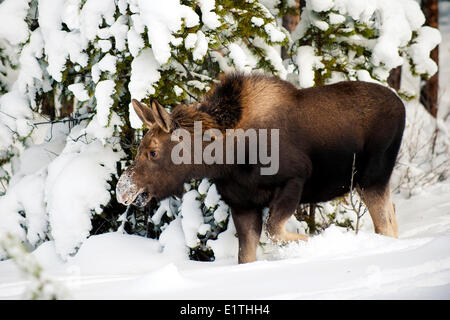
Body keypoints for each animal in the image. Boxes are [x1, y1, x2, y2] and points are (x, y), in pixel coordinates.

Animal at [116, 74, 404, 264]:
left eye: (153, 152)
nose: (122, 189)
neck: (226, 159)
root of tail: (402, 104)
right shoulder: (243, 204)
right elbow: (246, 256)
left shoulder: (295, 179)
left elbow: (275, 231)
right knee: (392, 217)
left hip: (372, 177)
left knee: (386, 225)